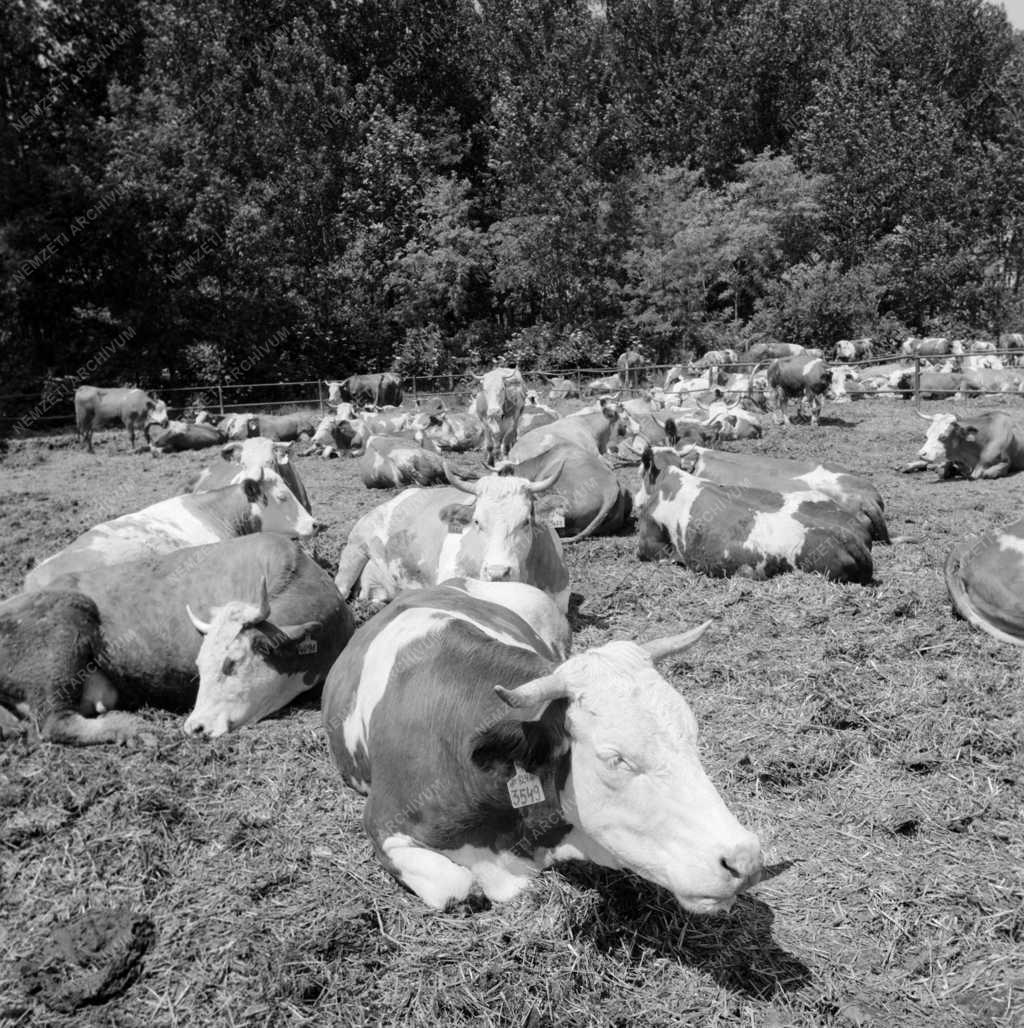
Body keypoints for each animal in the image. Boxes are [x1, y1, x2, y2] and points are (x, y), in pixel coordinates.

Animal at [0, 534, 351, 744]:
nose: (195, 726)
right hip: (58, 649)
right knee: (54, 722)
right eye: (200, 665)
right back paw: (131, 726)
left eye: (232, 663)